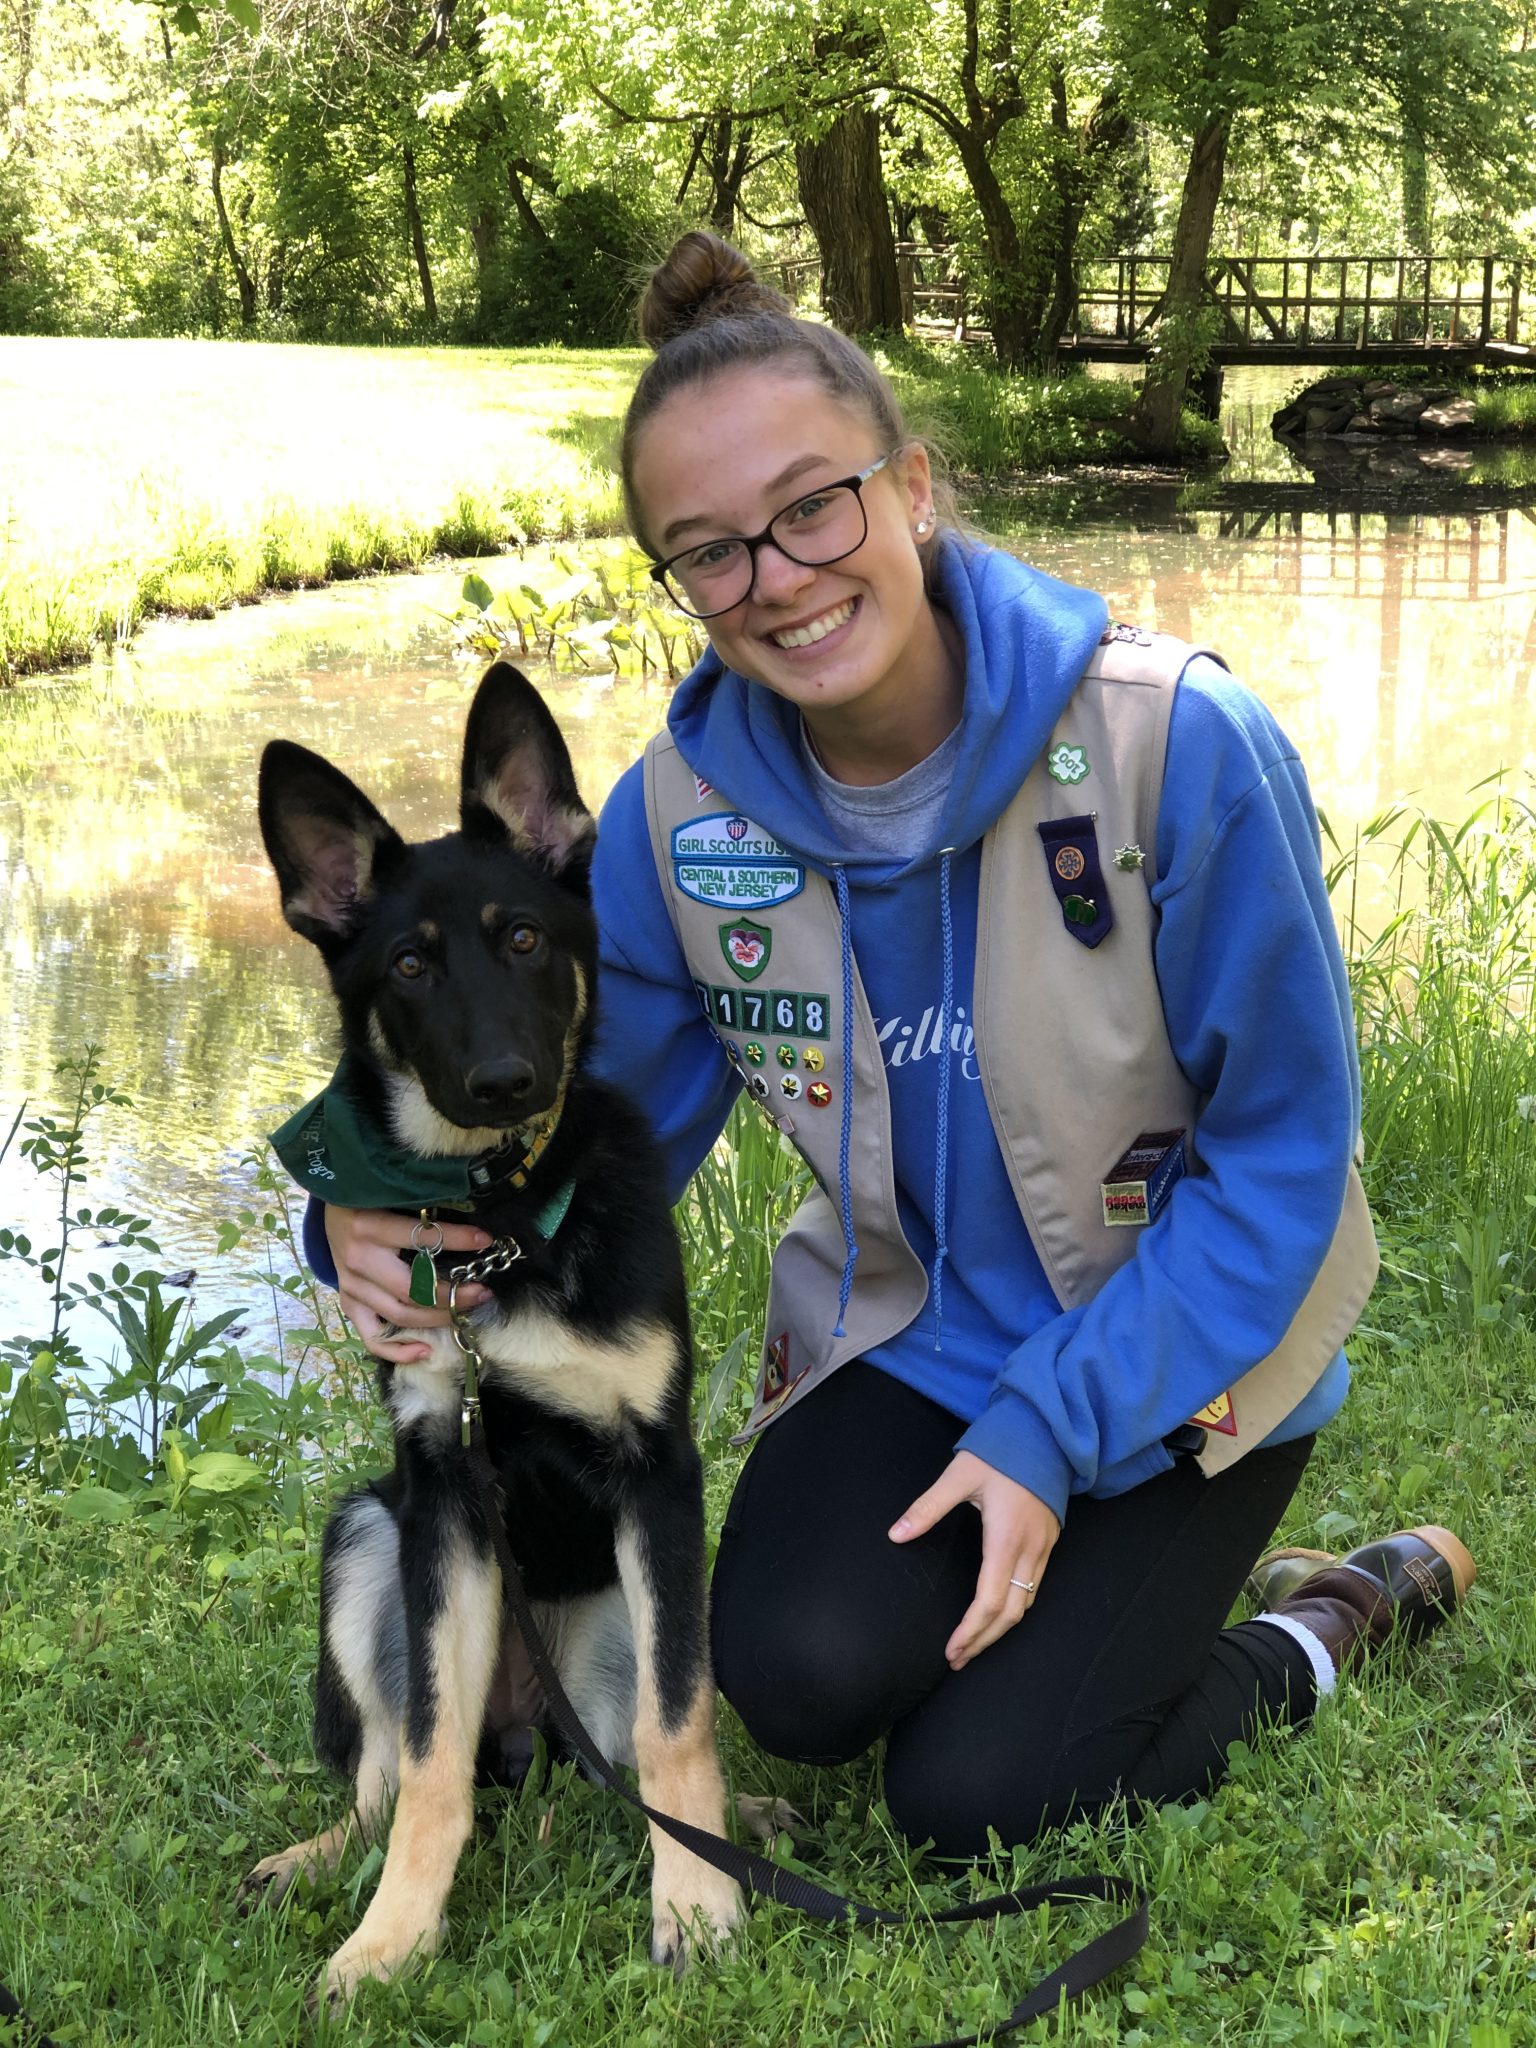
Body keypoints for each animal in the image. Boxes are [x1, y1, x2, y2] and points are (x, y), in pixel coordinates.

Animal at [241, 659, 745, 1998]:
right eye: (410, 966)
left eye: (523, 938)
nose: (505, 1084)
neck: (502, 1226)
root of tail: (526, 1717)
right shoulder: (443, 1482)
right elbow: (424, 1764)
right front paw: (394, 1935)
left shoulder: (657, 1473)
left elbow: (681, 1723)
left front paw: (702, 1907)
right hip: (371, 1540)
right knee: (396, 1767)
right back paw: (320, 1860)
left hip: (614, 1619)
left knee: (625, 1760)